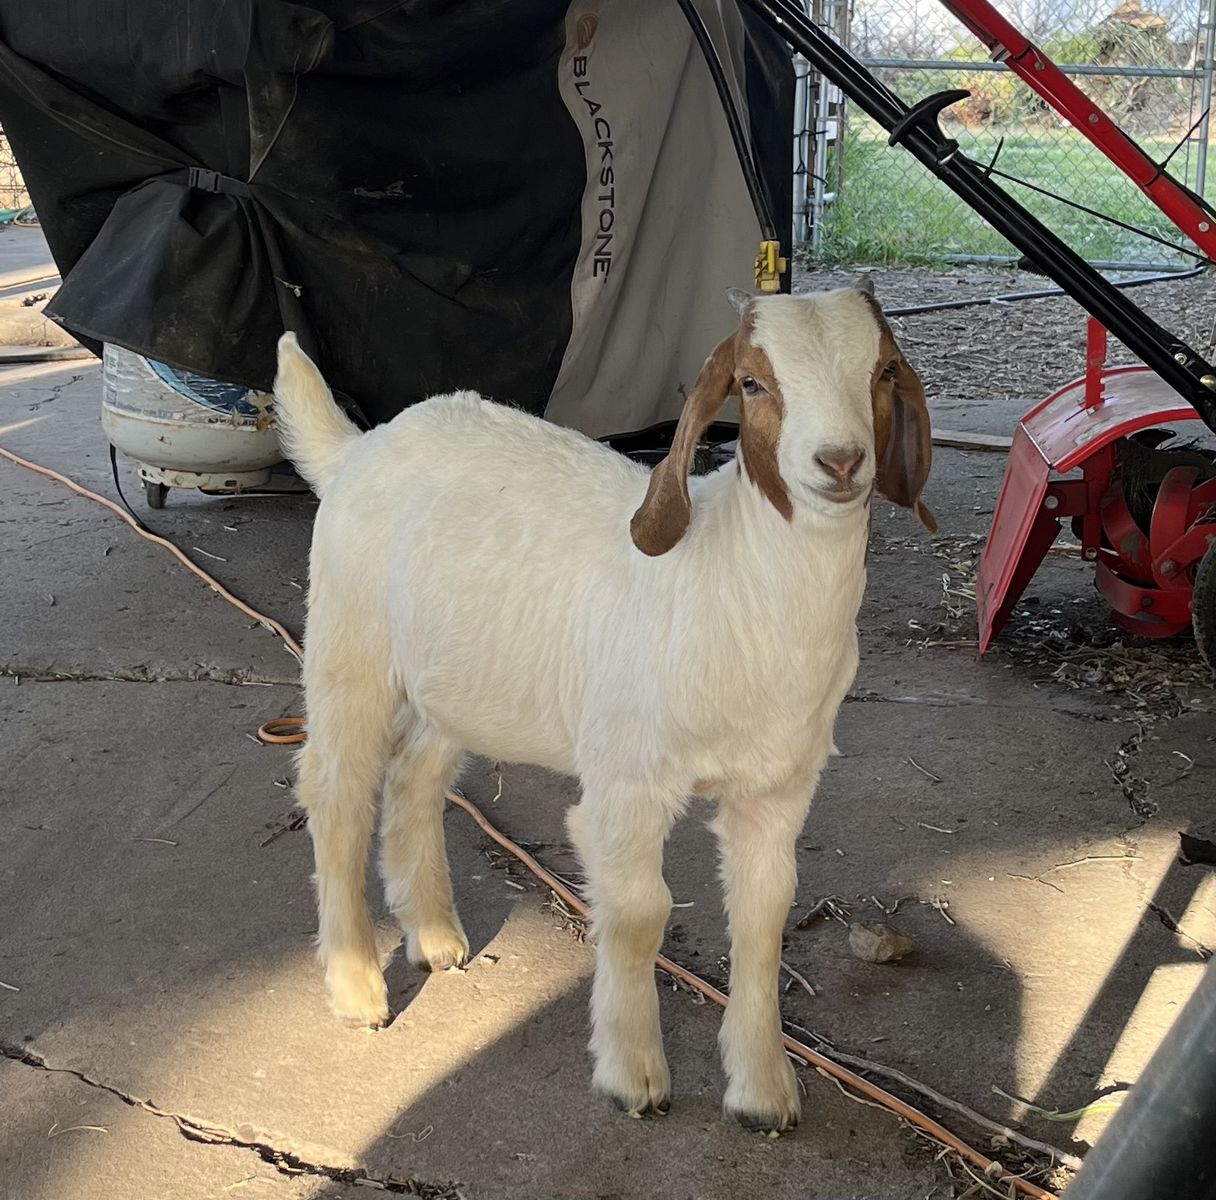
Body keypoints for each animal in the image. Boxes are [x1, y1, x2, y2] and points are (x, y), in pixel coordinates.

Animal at [272, 284, 934, 1132]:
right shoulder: (627, 784)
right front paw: (633, 1073)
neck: (732, 580)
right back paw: (357, 986)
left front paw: (763, 1089)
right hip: (349, 649)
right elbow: (640, 915)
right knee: (336, 792)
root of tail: (360, 446)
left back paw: (434, 934)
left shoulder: (777, 790)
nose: (841, 462)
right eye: (753, 384)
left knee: (415, 777)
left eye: (883, 372)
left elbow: (763, 919)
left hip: (461, 680)